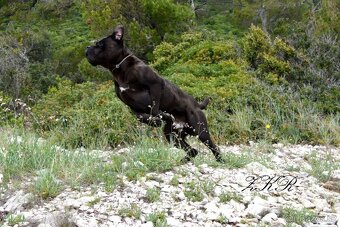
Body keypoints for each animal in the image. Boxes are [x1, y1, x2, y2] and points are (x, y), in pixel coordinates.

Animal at [86, 25, 222, 161]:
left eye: (99, 44)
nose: (87, 48)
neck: (120, 68)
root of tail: (198, 105)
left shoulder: (155, 84)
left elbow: (155, 109)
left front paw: (163, 117)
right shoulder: (132, 106)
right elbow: (141, 117)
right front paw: (156, 121)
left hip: (200, 131)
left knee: (214, 147)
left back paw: (219, 160)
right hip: (171, 134)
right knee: (192, 150)